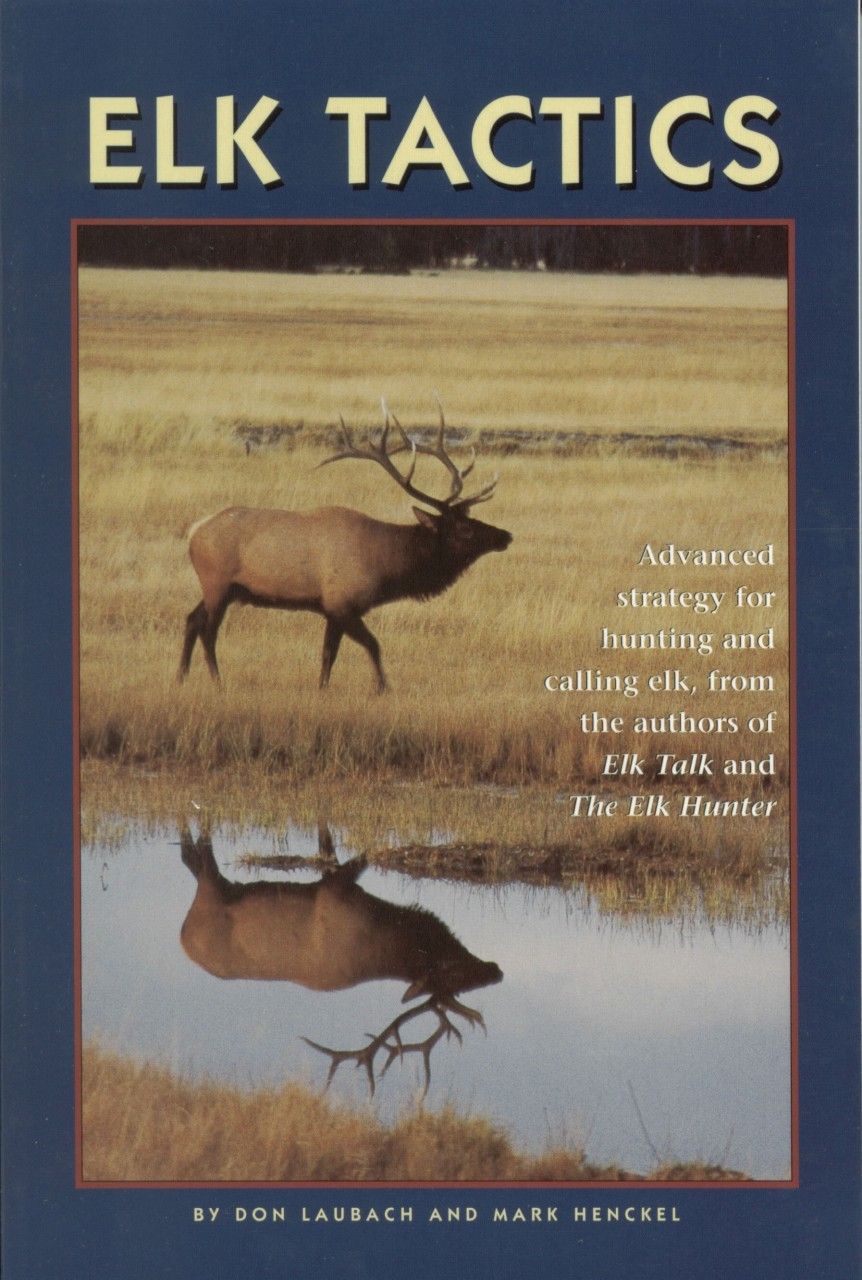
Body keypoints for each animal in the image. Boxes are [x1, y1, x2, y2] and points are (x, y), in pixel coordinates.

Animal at [177, 403, 512, 692]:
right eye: (464, 529)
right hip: (218, 584)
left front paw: (322, 689)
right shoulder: (342, 603)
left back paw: (181, 677)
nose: (505, 536)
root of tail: (194, 531)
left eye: (472, 518)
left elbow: (328, 655)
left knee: (192, 619)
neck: (386, 566)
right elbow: (372, 645)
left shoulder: (331, 610)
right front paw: (382, 688)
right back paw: (217, 682)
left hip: (224, 589)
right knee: (208, 630)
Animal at [178, 826, 503, 1094]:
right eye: (451, 974)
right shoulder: (337, 889)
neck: (383, 929)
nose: (495, 971)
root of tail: (183, 937)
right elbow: (360, 853)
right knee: (197, 855)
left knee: (191, 857)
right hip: (211, 892)